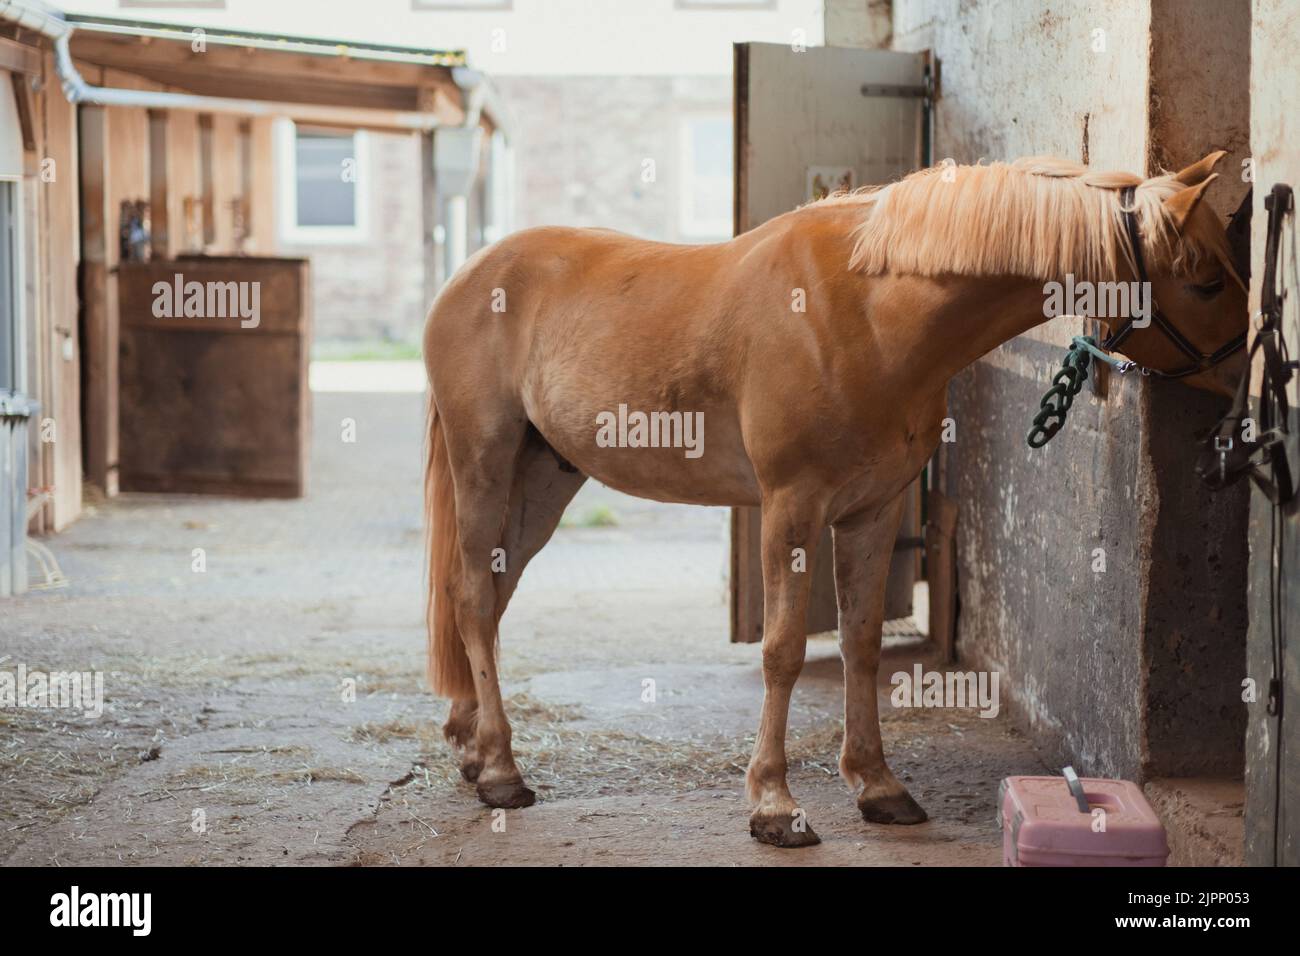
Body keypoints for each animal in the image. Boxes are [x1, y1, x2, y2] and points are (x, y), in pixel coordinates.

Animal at [423, 149, 1248, 842]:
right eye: (1206, 279)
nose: (1252, 380)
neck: (865, 313)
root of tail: (465, 278)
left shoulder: (869, 511)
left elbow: (861, 643)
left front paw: (877, 786)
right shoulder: (791, 508)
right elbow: (784, 650)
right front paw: (772, 803)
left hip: (543, 481)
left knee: (490, 597)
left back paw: (472, 746)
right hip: (485, 465)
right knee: (472, 599)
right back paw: (501, 771)